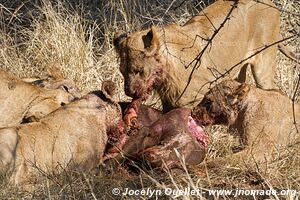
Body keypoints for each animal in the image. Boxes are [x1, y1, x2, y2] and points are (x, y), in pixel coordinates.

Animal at [113, 0, 282, 111]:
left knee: (275, 91)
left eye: (140, 70)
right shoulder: (169, 103)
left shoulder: (192, 101)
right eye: (122, 71)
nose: (129, 92)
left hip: (264, 67)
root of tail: (271, 3)